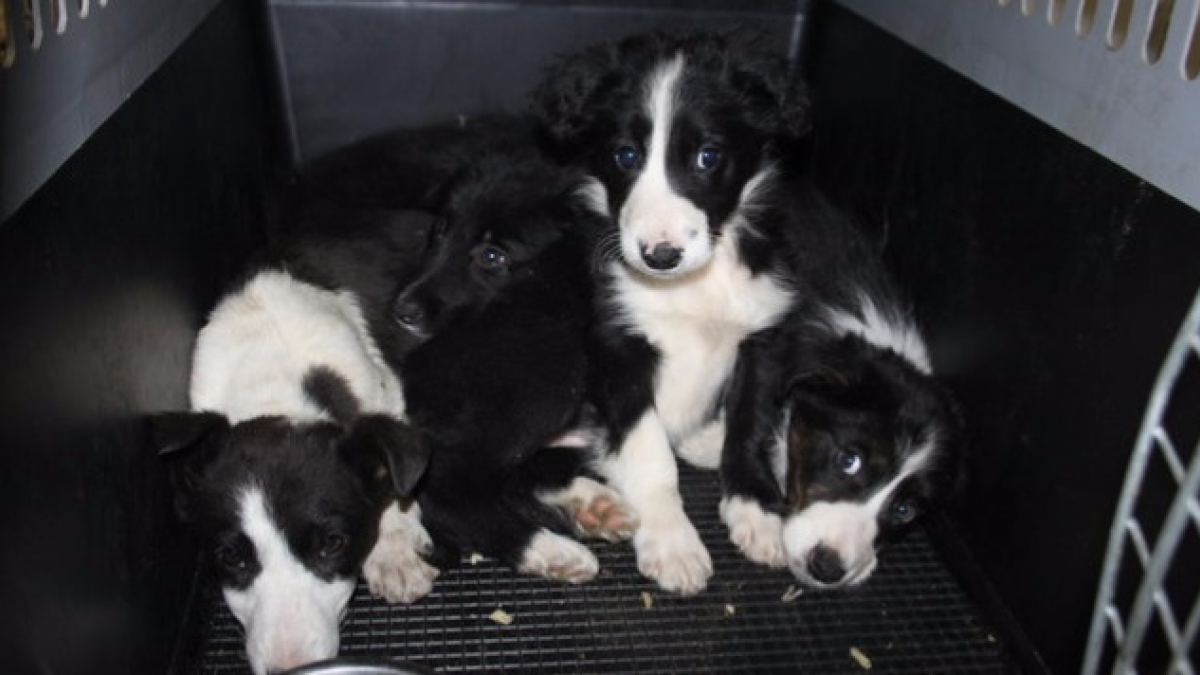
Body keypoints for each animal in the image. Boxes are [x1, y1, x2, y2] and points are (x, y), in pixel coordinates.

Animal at [148, 216, 432, 672]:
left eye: (333, 544)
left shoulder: (384, 393)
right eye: (230, 556)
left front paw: (394, 552)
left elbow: (393, 483)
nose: (288, 666)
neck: (273, 381)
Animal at [535, 30, 816, 593]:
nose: (659, 254)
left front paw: (758, 512)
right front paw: (671, 539)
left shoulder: (764, 337)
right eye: (624, 155)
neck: (692, 285)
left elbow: (750, 425)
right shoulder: (618, 347)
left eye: (708, 156)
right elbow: (650, 453)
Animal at [710, 186, 964, 586]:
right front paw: (755, 512)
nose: (827, 568)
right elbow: (751, 419)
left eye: (905, 510)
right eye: (848, 460)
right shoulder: (765, 342)